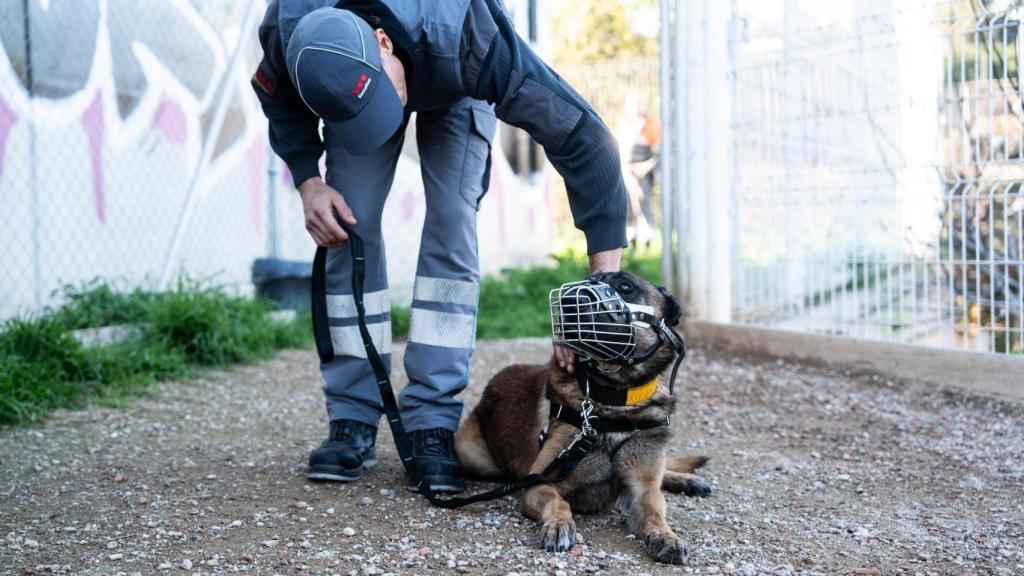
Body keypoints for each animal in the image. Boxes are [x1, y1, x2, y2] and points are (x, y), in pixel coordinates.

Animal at [456, 268, 712, 561]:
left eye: (625, 286)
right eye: (591, 279)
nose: (569, 300)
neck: (616, 400)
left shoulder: (643, 490)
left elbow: (655, 510)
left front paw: (666, 536)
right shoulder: (538, 485)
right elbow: (558, 502)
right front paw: (559, 525)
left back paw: (687, 480)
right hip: (472, 454)